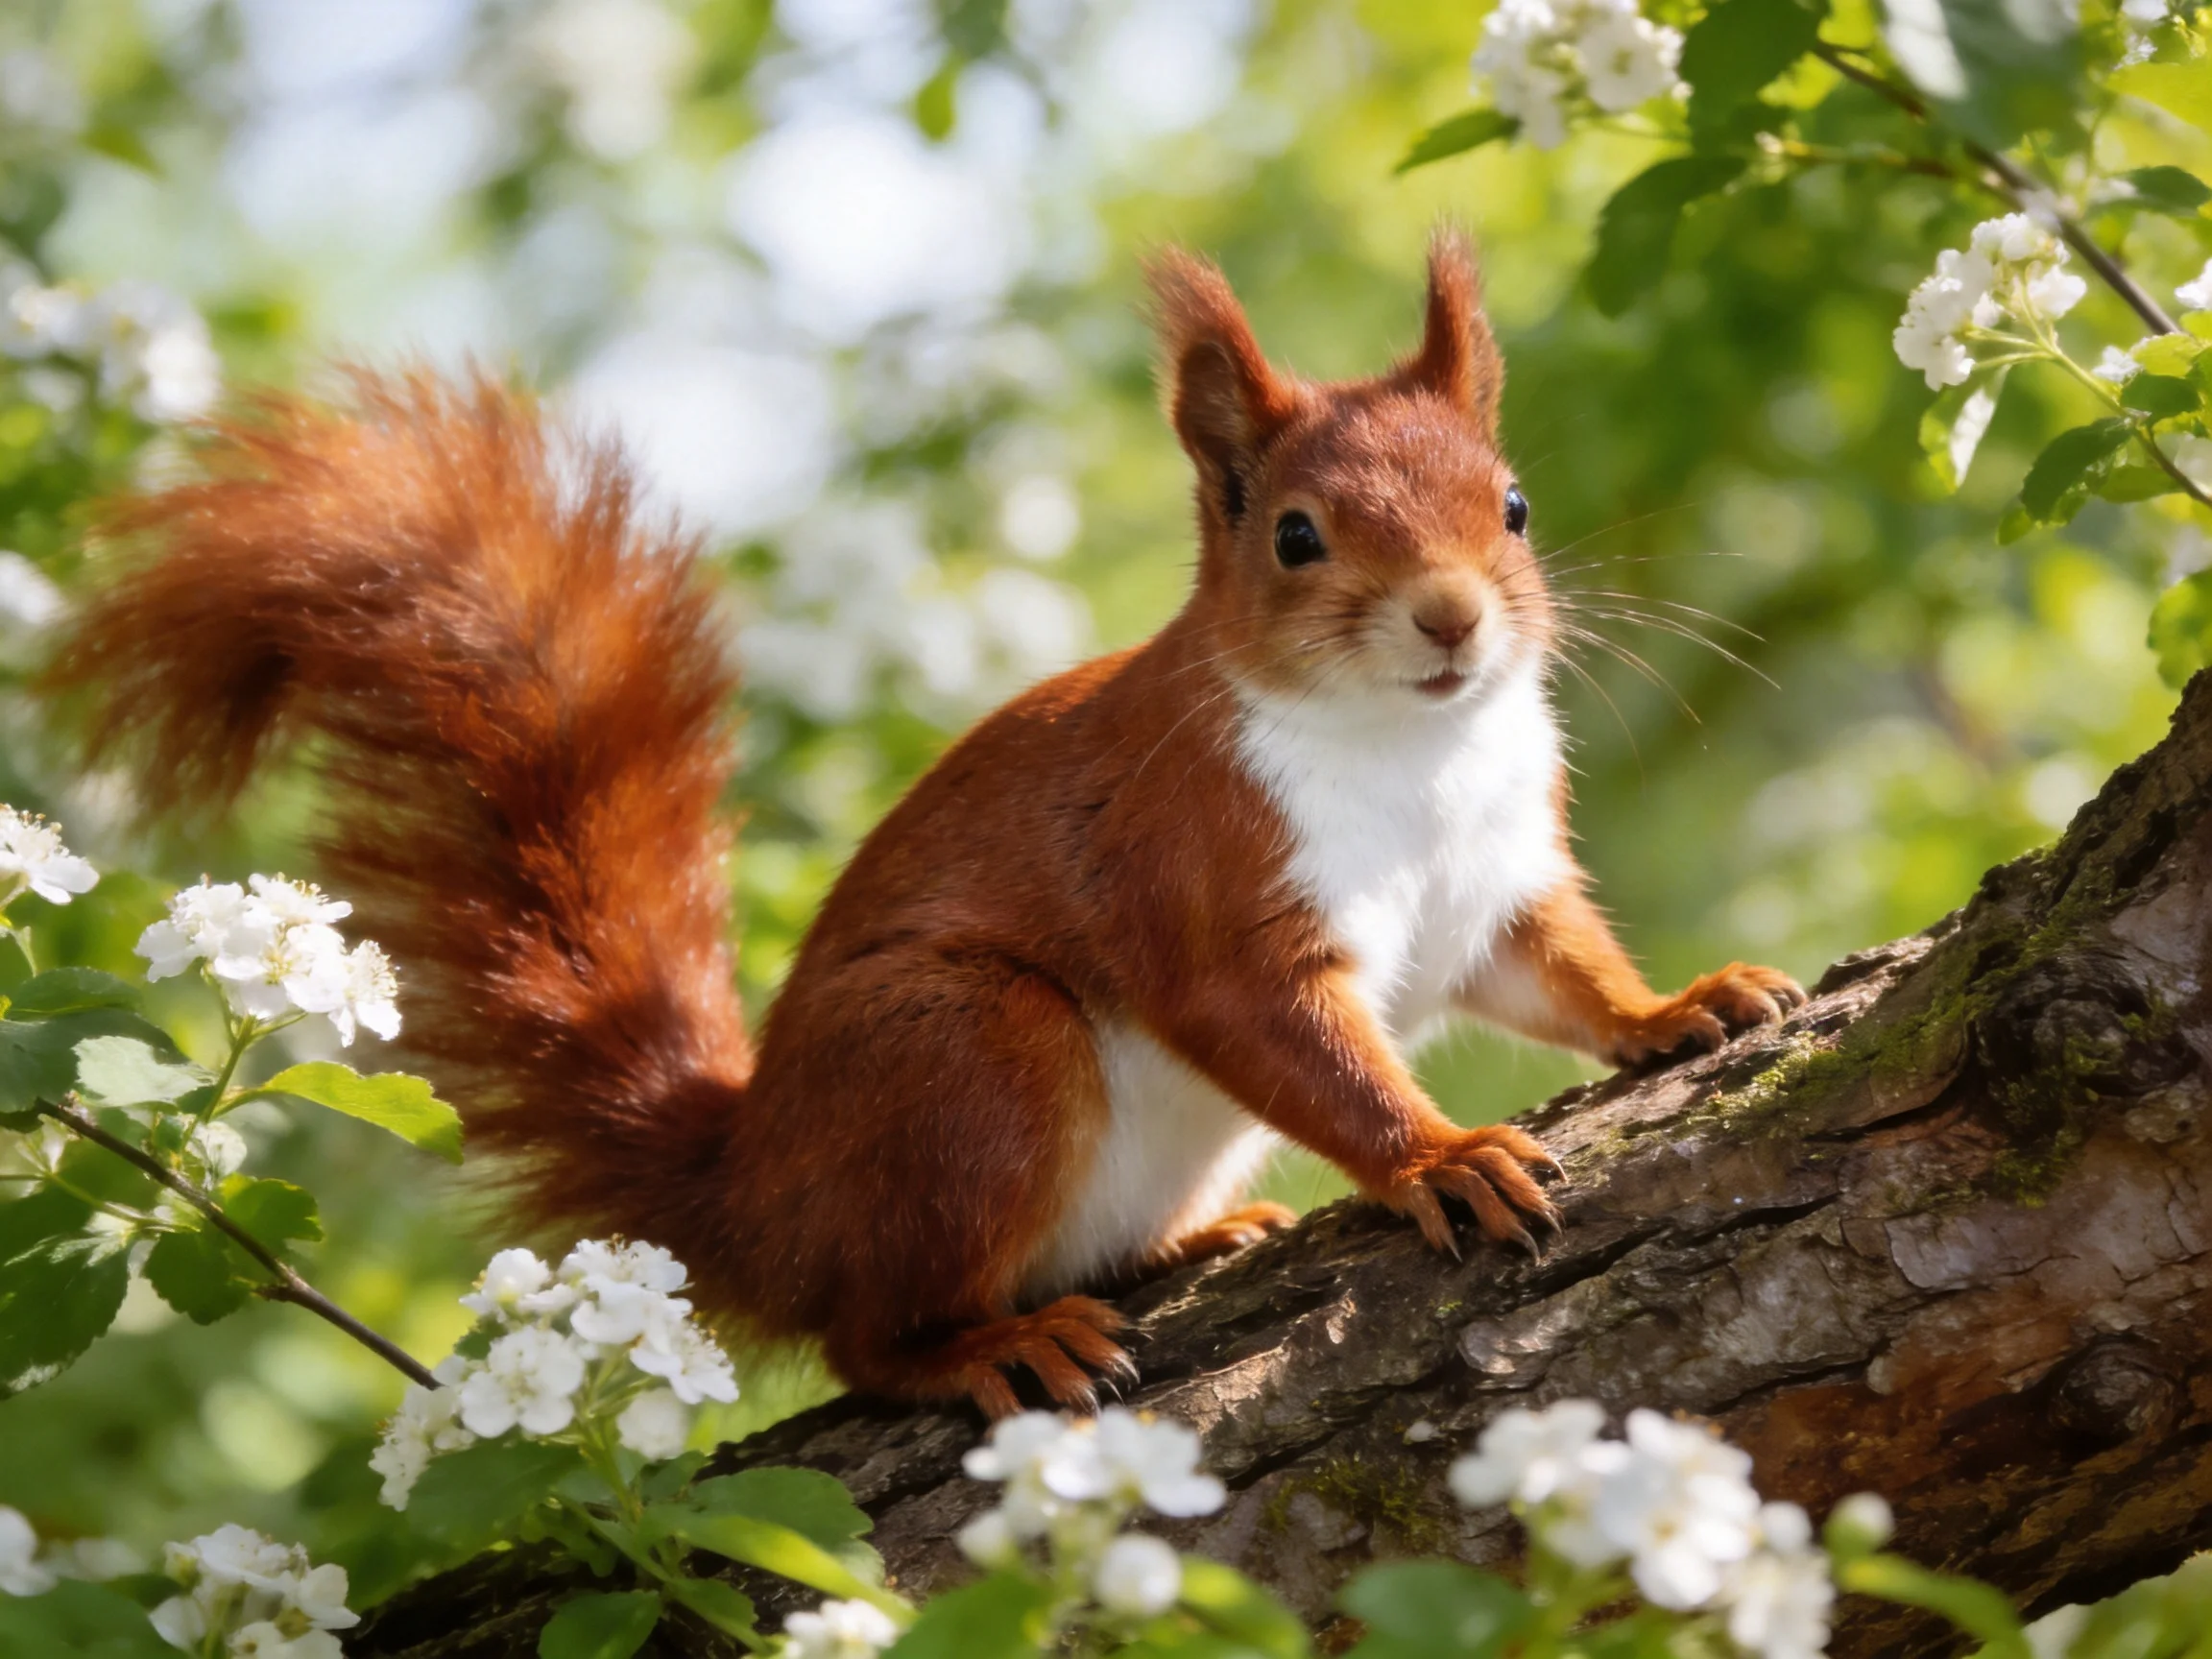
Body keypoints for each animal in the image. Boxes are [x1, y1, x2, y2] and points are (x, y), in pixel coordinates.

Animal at [50, 234, 1802, 1419]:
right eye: (1295, 537)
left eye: (1511, 504)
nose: (1449, 619)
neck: (1412, 750)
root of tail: (753, 1195)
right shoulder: (1203, 877)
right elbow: (1298, 1044)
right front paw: (1440, 1154)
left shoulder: (1495, 883)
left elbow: (1562, 975)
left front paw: (1687, 1004)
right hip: (967, 1051)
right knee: (863, 1337)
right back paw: (998, 1340)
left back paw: (1178, 1243)